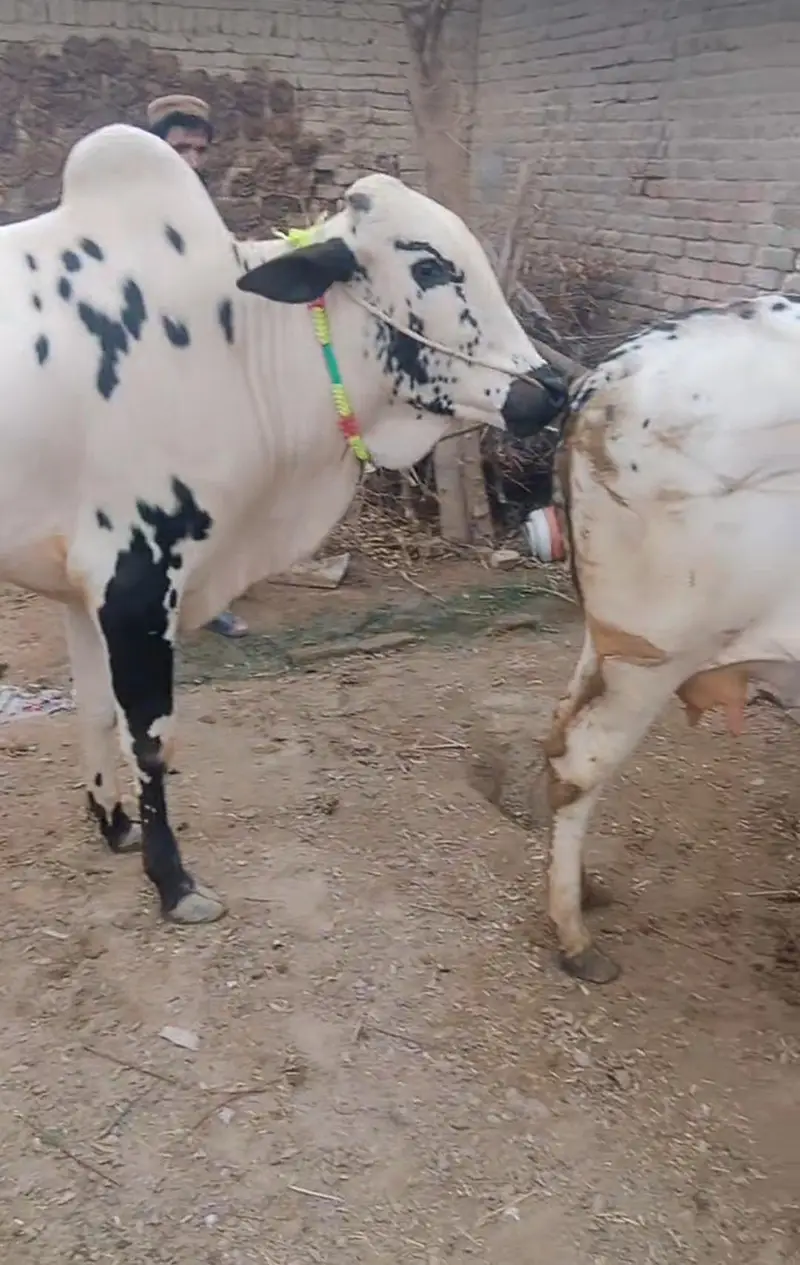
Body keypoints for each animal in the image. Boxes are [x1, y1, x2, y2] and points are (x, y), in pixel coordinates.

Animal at [0, 123, 566, 924]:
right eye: (428, 265)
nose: (549, 389)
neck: (235, 340)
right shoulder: (136, 575)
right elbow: (151, 736)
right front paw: (173, 882)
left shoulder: (80, 585)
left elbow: (94, 711)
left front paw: (112, 826)